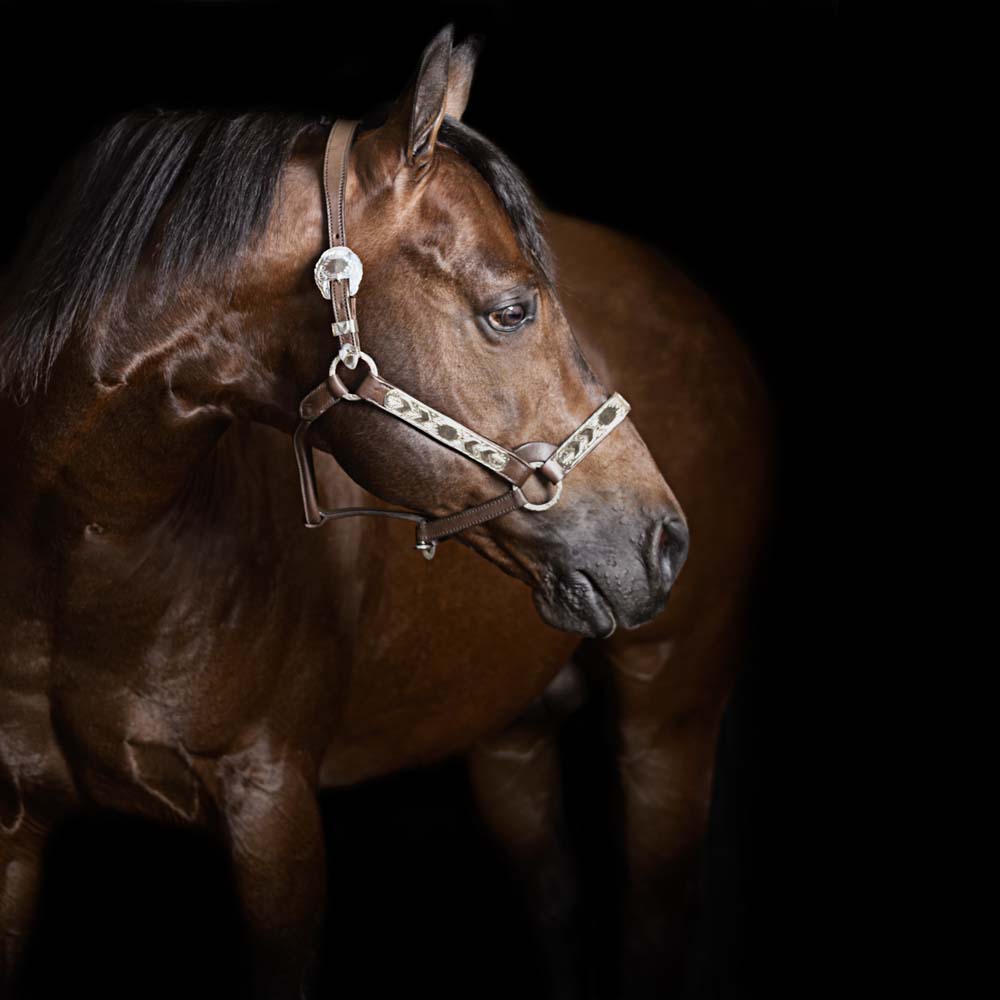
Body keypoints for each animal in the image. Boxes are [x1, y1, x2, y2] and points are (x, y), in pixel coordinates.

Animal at [0, 23, 772, 1000]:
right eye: (511, 310)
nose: (663, 541)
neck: (81, 555)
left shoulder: (273, 808)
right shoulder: (15, 826)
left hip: (669, 718)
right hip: (510, 735)